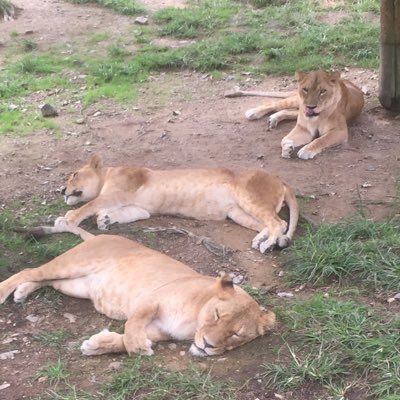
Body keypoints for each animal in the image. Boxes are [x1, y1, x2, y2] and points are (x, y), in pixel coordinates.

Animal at [0, 222, 276, 356]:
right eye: (217, 315)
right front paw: (137, 346)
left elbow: (122, 338)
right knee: (29, 271)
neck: (194, 322)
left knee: (42, 279)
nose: (207, 345)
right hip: (72, 265)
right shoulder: (153, 299)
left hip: (76, 285)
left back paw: (22, 292)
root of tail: (99, 236)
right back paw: (6, 291)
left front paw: (98, 345)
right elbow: (131, 324)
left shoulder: (161, 331)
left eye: (236, 335)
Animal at [34, 154, 298, 252]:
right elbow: (123, 213)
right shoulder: (139, 208)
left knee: (278, 223)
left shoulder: (116, 192)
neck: (107, 174)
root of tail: (281, 179)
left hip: (249, 197)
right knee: (274, 224)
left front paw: (70, 218)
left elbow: (89, 205)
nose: (61, 190)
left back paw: (268, 245)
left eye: (74, 174)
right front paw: (105, 219)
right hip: (238, 212)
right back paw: (259, 240)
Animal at [227, 70, 364, 159]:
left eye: (322, 91)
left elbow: (321, 140)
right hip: (297, 102)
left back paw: (273, 118)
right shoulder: (304, 129)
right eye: (306, 89)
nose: (311, 107)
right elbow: (284, 139)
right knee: (276, 104)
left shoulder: (340, 131)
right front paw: (287, 148)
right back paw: (253, 112)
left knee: (288, 111)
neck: (318, 117)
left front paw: (306, 150)